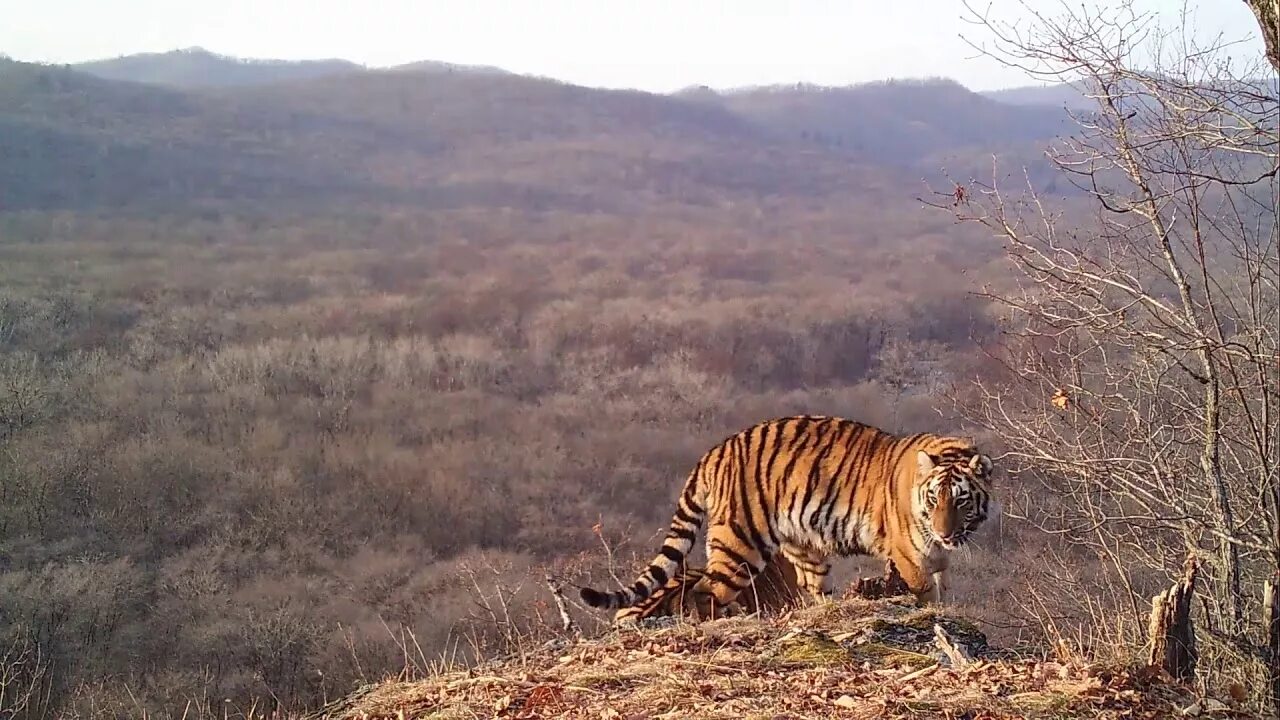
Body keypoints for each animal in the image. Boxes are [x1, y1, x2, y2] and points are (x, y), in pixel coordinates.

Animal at [583, 415, 998, 617]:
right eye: (933, 500)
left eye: (960, 502)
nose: (945, 533)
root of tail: (715, 451)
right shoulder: (911, 558)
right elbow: (928, 594)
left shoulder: (938, 558)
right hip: (740, 544)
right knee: (706, 591)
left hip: (804, 547)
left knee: (815, 590)